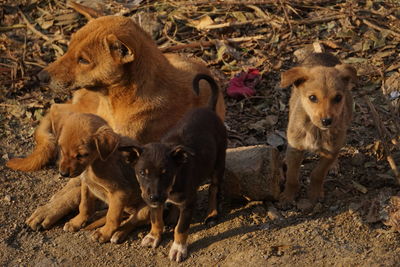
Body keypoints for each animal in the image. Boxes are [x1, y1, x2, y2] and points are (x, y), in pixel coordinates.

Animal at [10, 15, 225, 231]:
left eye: (83, 60)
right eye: (69, 48)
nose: (41, 77)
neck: (121, 102)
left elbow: (81, 184)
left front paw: (51, 210)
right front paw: (53, 206)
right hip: (83, 110)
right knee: (56, 112)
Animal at [120, 74, 227, 262]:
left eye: (166, 173)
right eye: (142, 173)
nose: (154, 197)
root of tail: (209, 110)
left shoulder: (189, 203)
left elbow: (181, 228)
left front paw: (178, 248)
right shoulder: (153, 201)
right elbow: (156, 220)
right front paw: (153, 236)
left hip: (219, 163)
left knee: (214, 188)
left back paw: (212, 214)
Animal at [278, 53, 356, 206]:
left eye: (338, 98)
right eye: (312, 97)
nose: (327, 121)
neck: (316, 129)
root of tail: (321, 54)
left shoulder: (329, 152)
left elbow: (318, 174)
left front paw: (315, 194)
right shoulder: (295, 149)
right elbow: (292, 177)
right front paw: (288, 196)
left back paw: (334, 165)